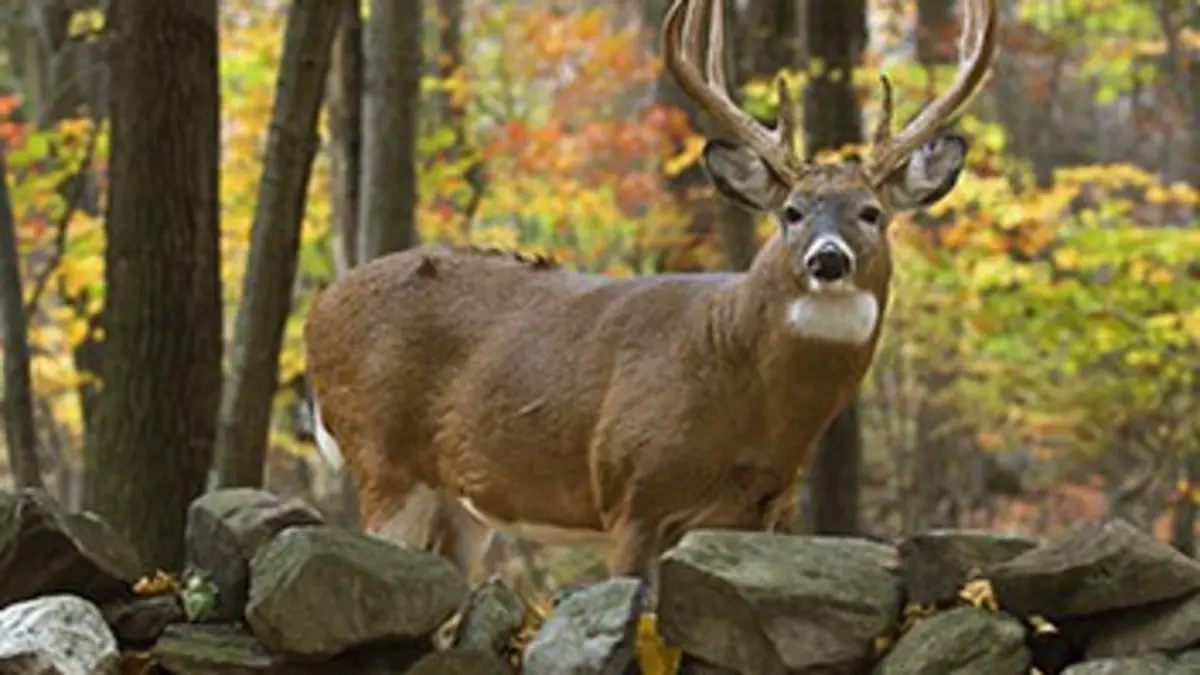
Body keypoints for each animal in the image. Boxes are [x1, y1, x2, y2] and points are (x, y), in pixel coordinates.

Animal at [304, 0, 998, 584]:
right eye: (793, 212)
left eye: (871, 212)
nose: (828, 259)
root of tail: (319, 309)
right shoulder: (632, 494)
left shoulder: (763, 511)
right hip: (383, 461)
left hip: (462, 505)